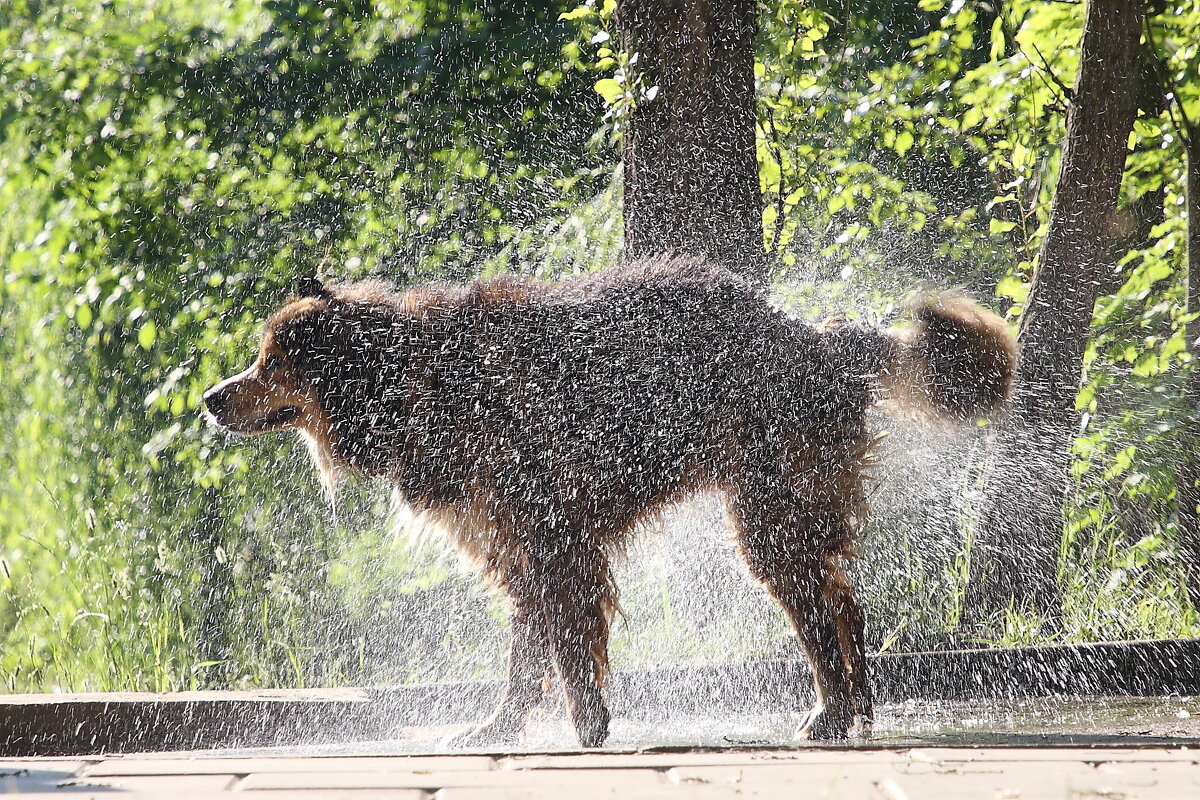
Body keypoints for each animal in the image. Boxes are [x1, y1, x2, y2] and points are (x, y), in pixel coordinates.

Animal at [204, 257, 1012, 753]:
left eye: (269, 362)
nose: (211, 398)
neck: (409, 386)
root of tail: (815, 337)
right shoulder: (514, 545)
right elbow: (525, 654)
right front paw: (496, 728)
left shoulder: (551, 533)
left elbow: (563, 643)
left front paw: (586, 722)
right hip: (793, 504)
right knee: (843, 597)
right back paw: (861, 708)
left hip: (769, 507)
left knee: (816, 608)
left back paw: (831, 711)